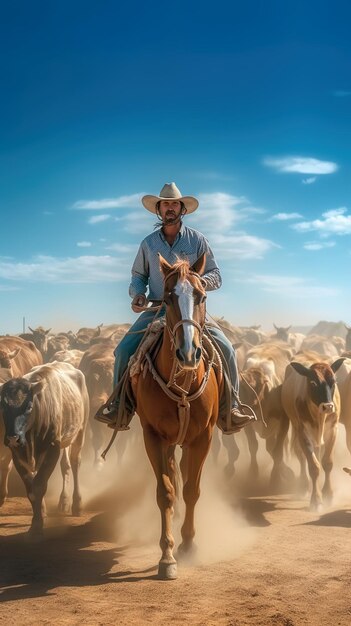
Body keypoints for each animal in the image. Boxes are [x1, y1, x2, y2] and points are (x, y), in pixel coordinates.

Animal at [0, 360, 89, 536]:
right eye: (3, 407)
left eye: (29, 406)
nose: (13, 437)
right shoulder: (18, 453)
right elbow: (31, 489)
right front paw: (39, 515)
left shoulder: (53, 448)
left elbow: (40, 485)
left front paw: (36, 527)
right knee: (65, 465)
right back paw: (62, 502)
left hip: (80, 431)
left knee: (75, 463)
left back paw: (77, 504)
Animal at [132, 251, 223, 576]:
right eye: (169, 297)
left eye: (201, 295)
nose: (188, 353)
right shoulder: (153, 437)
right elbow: (166, 492)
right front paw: (167, 555)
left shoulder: (203, 438)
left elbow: (192, 490)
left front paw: (188, 545)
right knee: (173, 477)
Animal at [282, 354, 346, 510]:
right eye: (313, 383)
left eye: (333, 382)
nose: (328, 406)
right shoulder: (303, 432)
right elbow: (313, 466)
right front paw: (316, 499)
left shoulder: (333, 430)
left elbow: (327, 463)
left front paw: (328, 494)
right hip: (296, 429)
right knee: (301, 456)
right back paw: (304, 486)